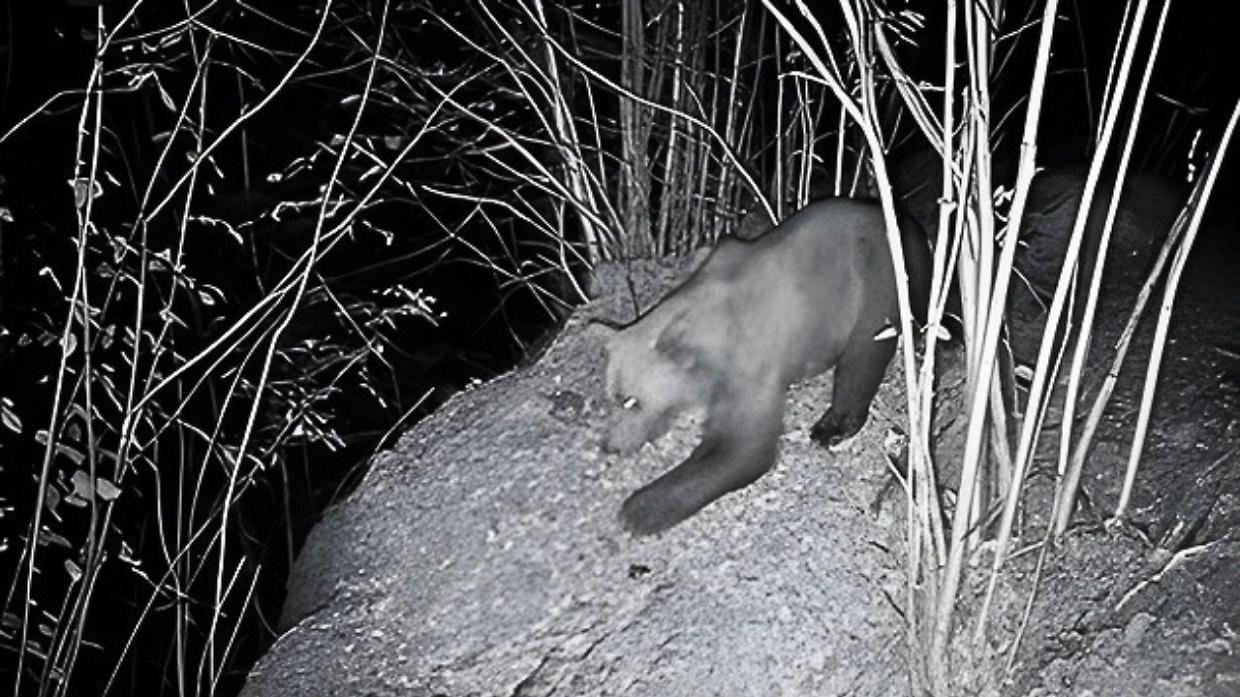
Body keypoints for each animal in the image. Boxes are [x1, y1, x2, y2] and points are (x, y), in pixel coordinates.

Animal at [603, 198, 933, 535]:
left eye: (632, 401)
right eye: (612, 396)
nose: (609, 446)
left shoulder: (751, 358)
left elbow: (744, 447)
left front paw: (639, 508)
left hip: (879, 282)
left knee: (863, 356)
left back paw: (829, 428)